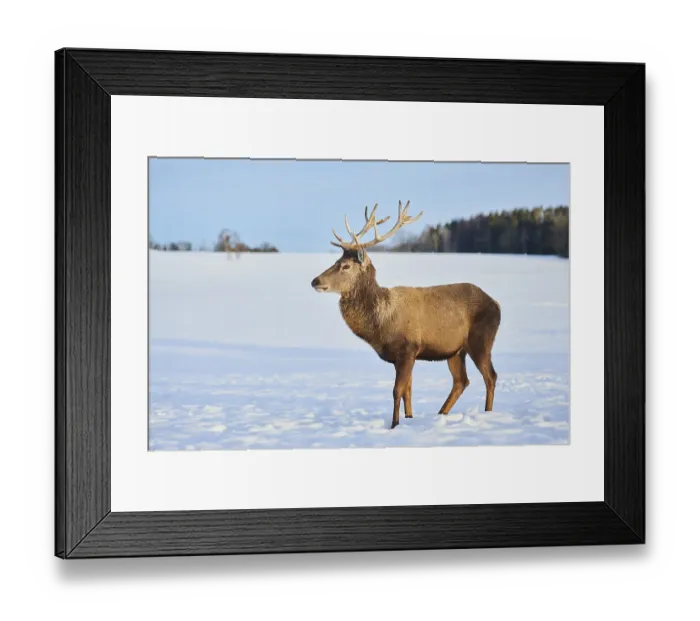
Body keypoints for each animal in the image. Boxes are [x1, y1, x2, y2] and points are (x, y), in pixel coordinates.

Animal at [311, 201, 501, 429]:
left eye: (345, 266)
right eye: (336, 261)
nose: (315, 281)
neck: (381, 325)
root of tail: (497, 305)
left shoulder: (408, 349)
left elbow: (397, 391)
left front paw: (394, 424)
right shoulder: (399, 357)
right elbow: (407, 392)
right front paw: (409, 419)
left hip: (481, 339)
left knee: (490, 376)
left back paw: (487, 413)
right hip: (455, 350)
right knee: (461, 381)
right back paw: (441, 413)